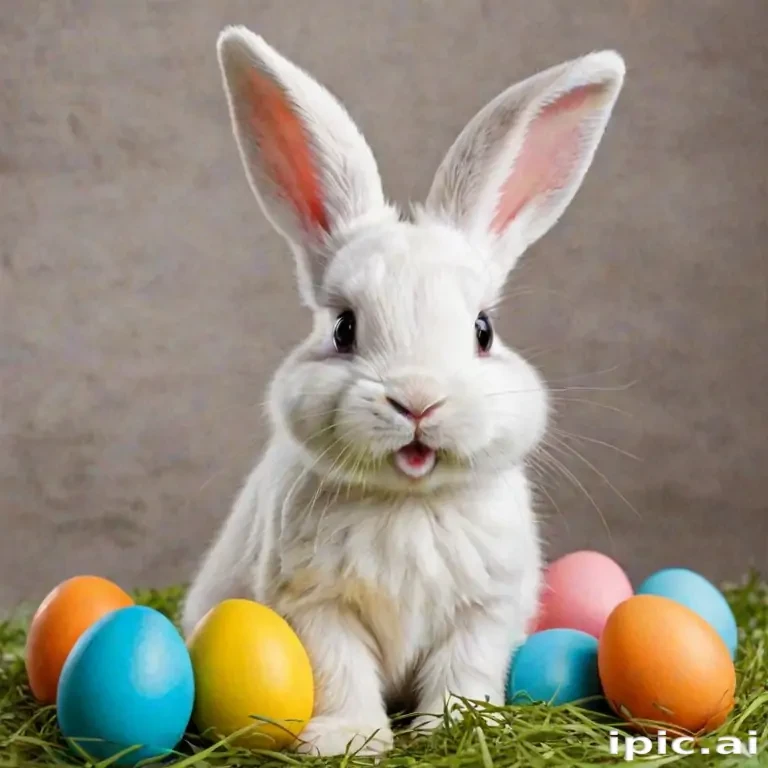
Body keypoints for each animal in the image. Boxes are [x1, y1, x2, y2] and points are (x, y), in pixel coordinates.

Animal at [181, 25, 625, 757]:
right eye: (343, 328)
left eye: (483, 330)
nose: (417, 400)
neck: (409, 505)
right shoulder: (316, 607)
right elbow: (340, 671)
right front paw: (348, 740)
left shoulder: (484, 611)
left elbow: (463, 671)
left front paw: (461, 729)